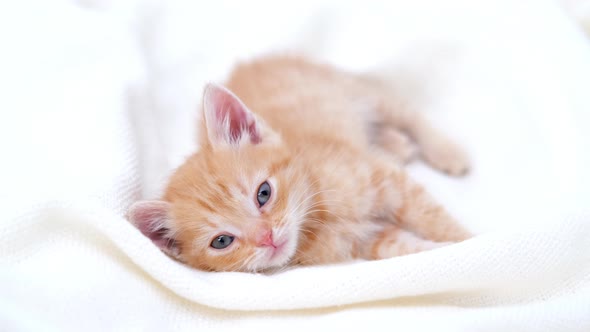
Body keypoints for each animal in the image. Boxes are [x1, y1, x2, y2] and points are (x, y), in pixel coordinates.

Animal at [127, 55, 474, 272]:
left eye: (263, 193)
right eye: (222, 241)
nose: (266, 237)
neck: (316, 215)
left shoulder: (384, 179)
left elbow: (431, 216)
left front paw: (468, 241)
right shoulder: (367, 241)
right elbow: (408, 247)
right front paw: (448, 251)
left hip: (355, 91)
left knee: (407, 113)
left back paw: (446, 151)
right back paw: (396, 144)